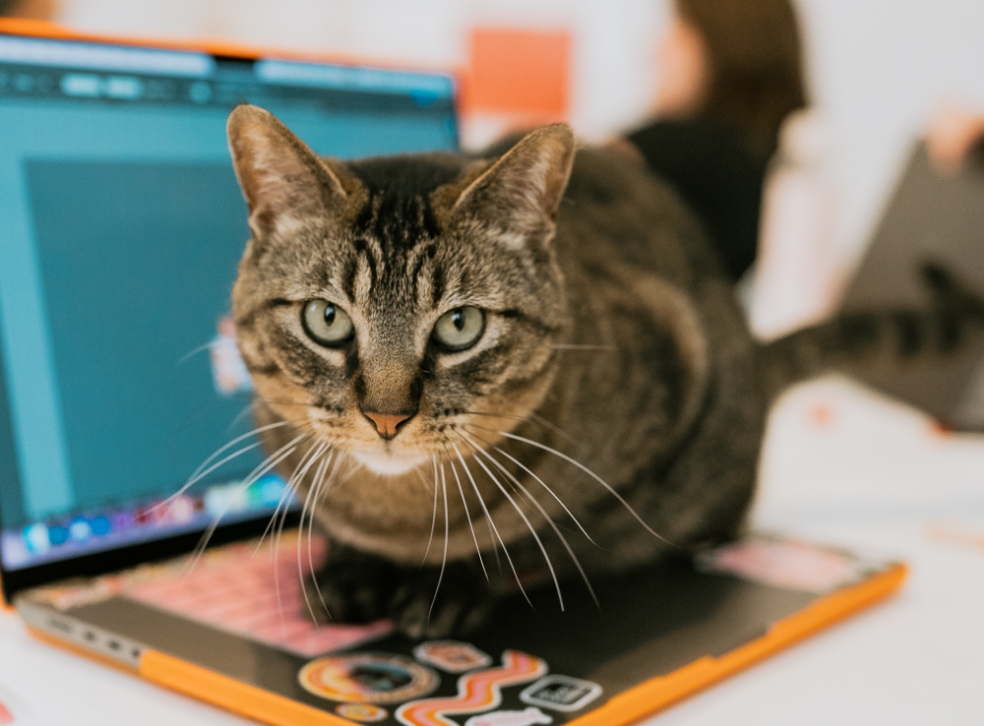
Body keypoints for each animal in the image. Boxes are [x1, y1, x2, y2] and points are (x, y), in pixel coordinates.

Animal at [225, 102, 984, 636]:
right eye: (327, 319)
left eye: (459, 326)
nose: (386, 416)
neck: (397, 516)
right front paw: (352, 567)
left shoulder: (662, 407)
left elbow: (551, 537)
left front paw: (457, 584)